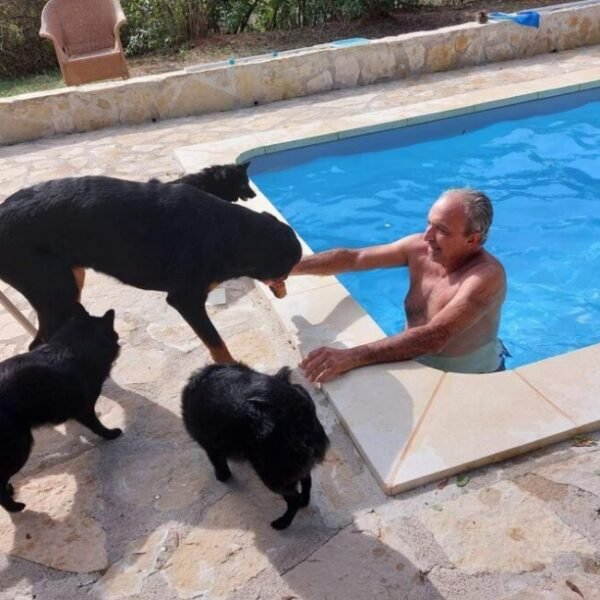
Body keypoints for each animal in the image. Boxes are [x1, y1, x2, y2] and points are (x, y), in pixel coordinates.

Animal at [0, 173, 302, 360]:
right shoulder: (186, 300)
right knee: (40, 342)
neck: (230, 231)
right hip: (56, 293)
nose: (285, 292)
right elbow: (218, 344)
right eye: (286, 271)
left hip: (71, 280)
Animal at [0, 304, 120, 510]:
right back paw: (14, 506)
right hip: (19, 446)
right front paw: (111, 434)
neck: (74, 345)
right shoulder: (85, 410)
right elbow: (97, 425)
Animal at [183, 364, 330, 528]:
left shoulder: (210, 446)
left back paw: (282, 523)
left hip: (272, 475)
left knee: (294, 499)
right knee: (306, 482)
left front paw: (221, 477)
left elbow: (220, 466)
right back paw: (304, 501)